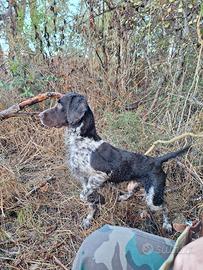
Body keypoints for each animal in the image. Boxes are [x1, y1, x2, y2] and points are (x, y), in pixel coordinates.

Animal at [39, 92, 189, 231]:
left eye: (60, 105)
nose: (39, 115)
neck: (82, 140)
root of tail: (157, 160)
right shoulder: (84, 180)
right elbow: (89, 201)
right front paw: (89, 218)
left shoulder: (101, 175)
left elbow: (83, 196)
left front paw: (98, 200)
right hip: (133, 184)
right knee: (133, 192)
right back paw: (124, 197)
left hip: (153, 198)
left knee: (165, 206)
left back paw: (167, 224)